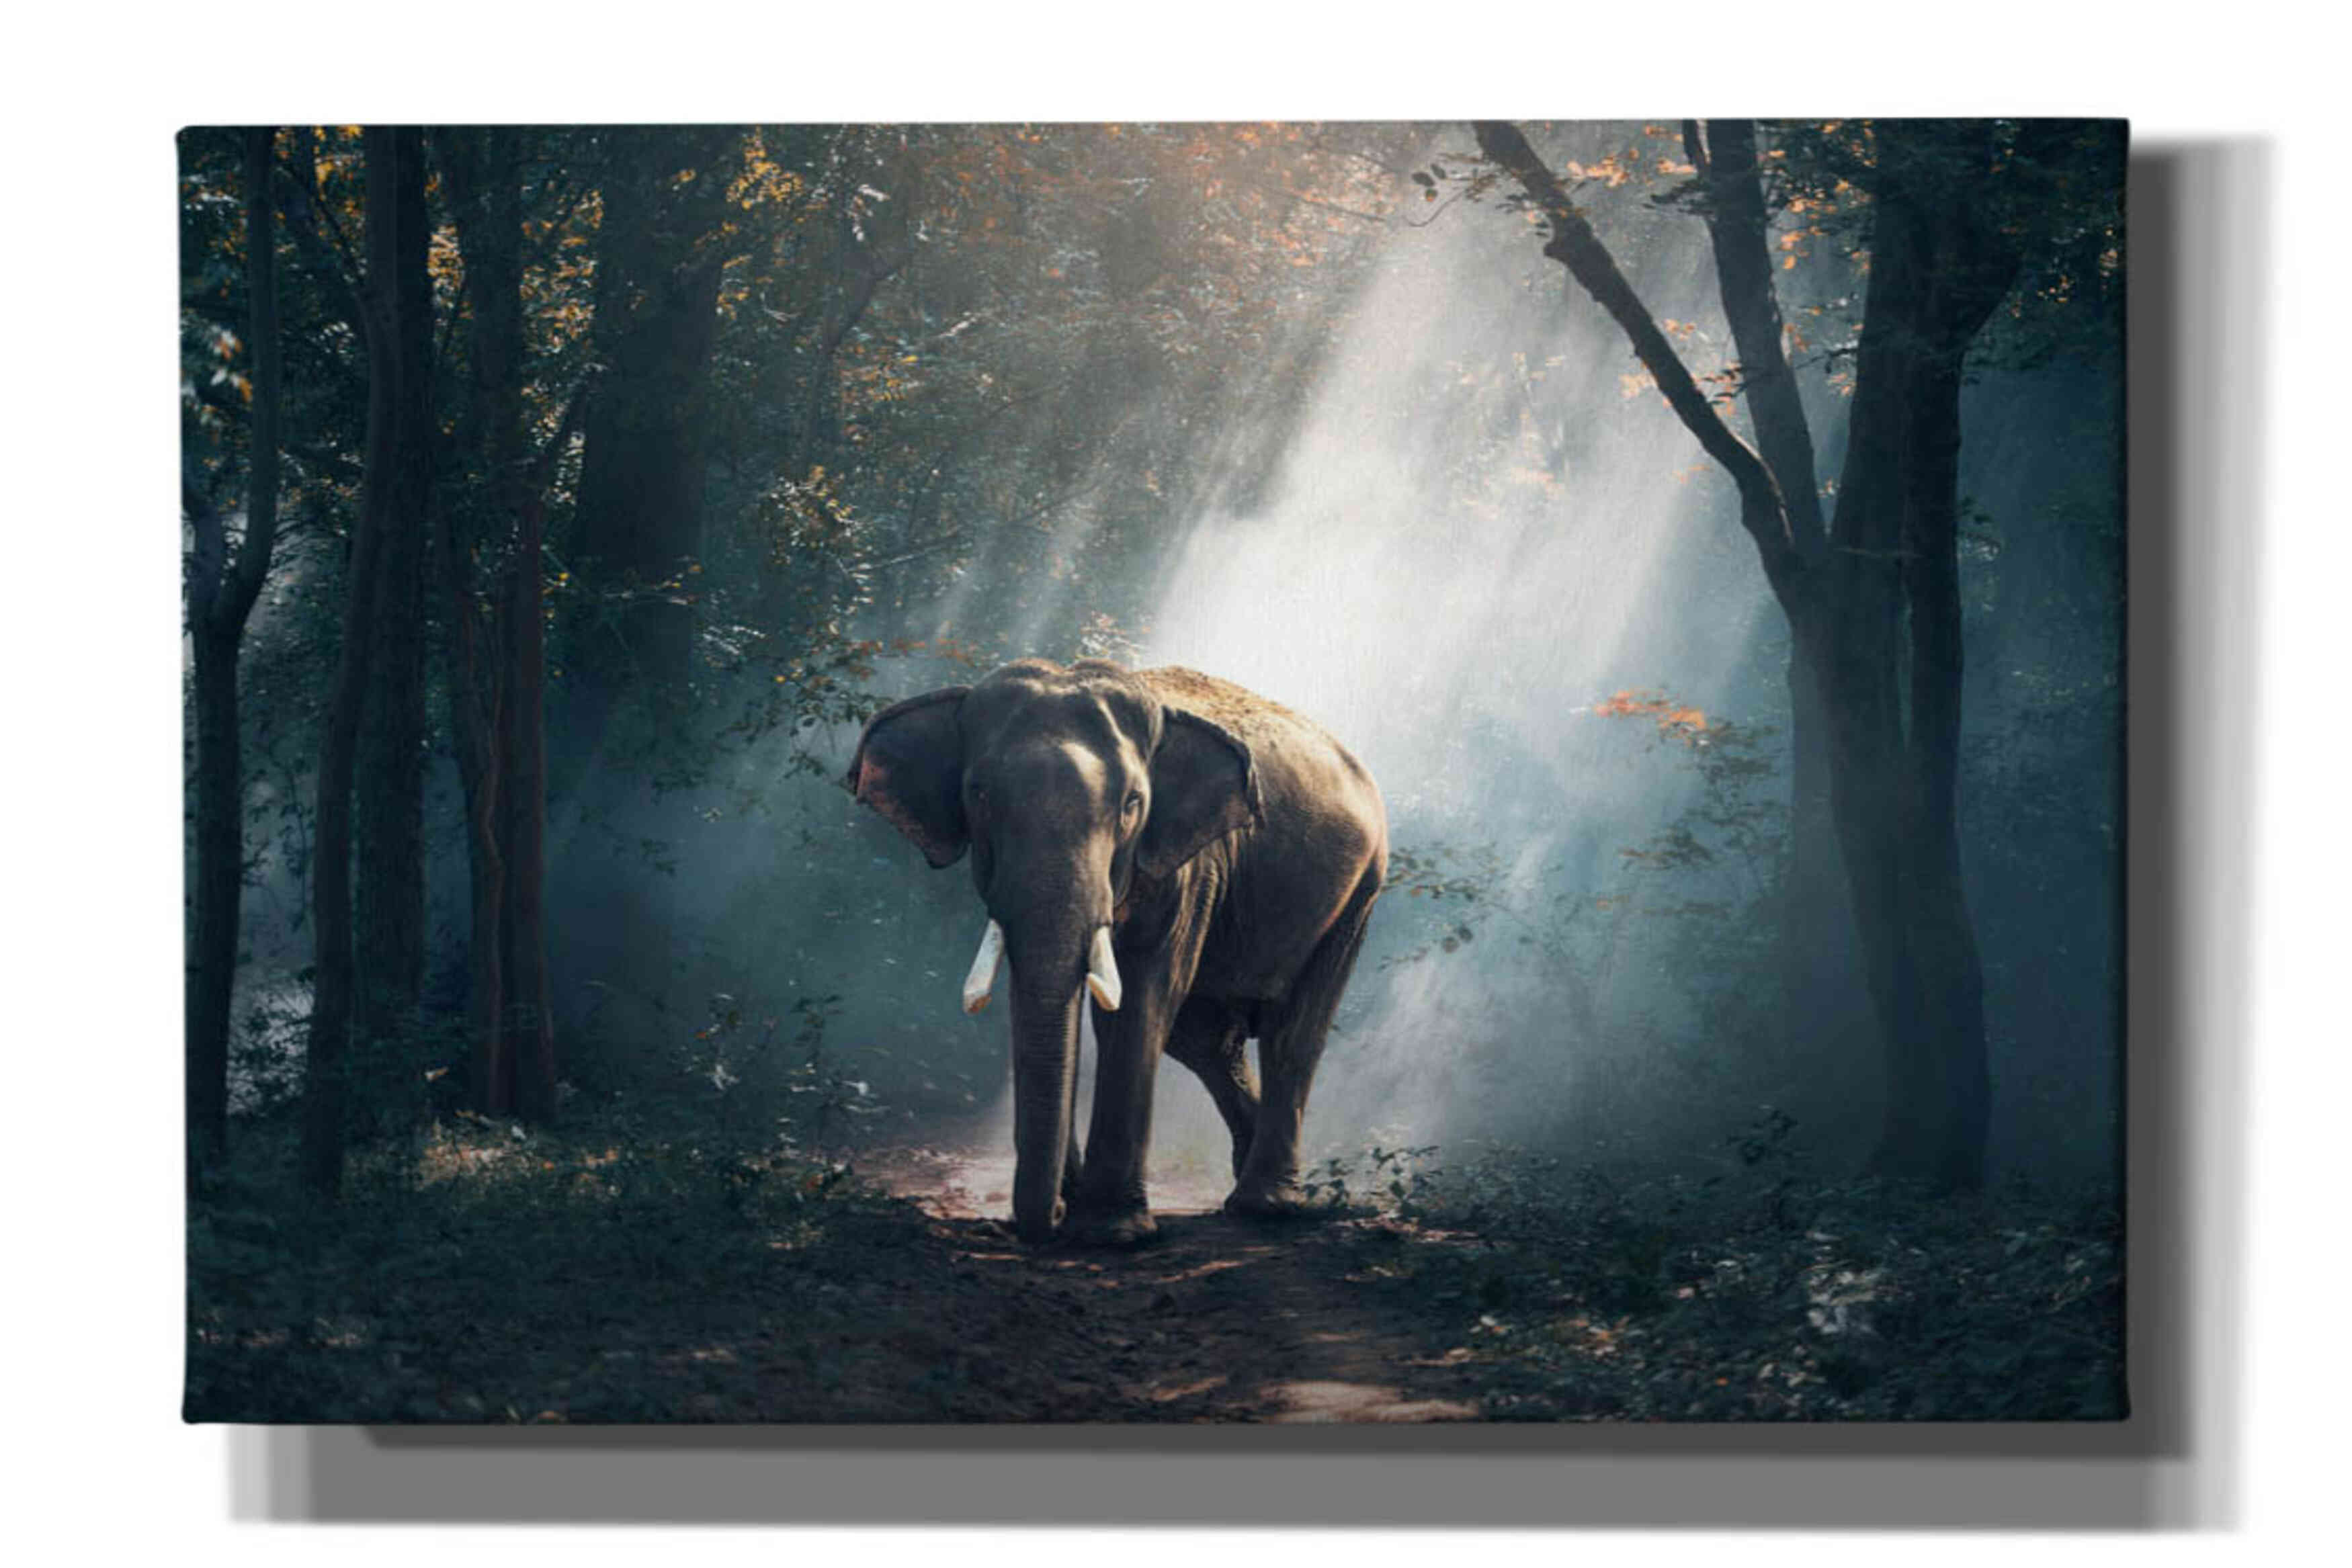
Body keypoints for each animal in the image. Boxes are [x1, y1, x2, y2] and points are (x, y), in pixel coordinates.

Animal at [845, 658, 1387, 1246]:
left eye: (1132, 805)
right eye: (979, 795)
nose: (1050, 1218)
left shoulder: (1188, 866)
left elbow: (1141, 999)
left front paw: (1110, 1232)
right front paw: (1078, 1206)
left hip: (1360, 891)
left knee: (1294, 1031)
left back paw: (1266, 1206)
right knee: (1205, 1040)